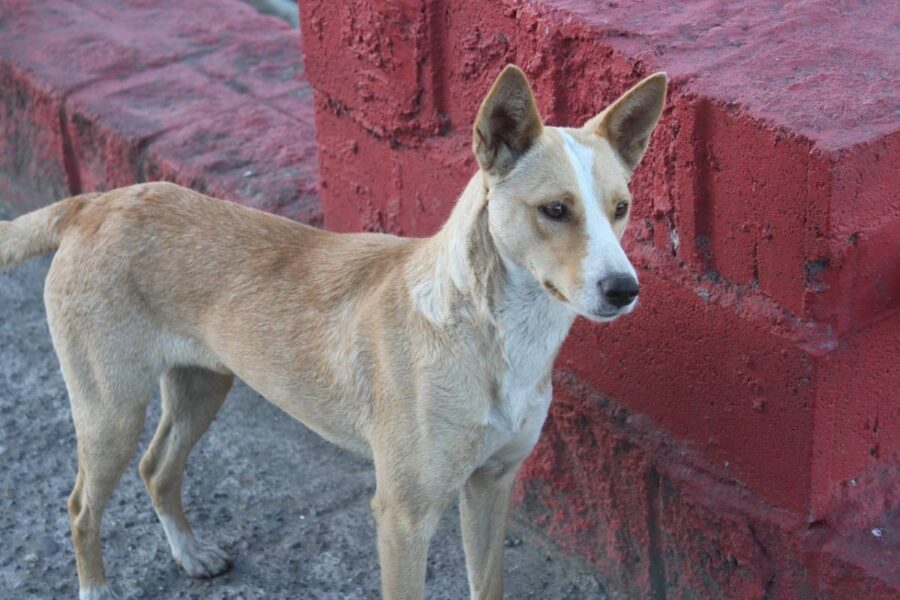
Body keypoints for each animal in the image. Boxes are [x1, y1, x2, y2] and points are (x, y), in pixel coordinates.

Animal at [0, 67, 660, 600]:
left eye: (622, 208)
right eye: (555, 210)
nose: (624, 289)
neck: (494, 334)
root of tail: (93, 203)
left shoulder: (491, 486)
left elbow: (489, 585)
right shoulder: (403, 517)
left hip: (201, 385)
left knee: (156, 468)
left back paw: (189, 553)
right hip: (110, 409)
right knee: (80, 504)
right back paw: (96, 586)